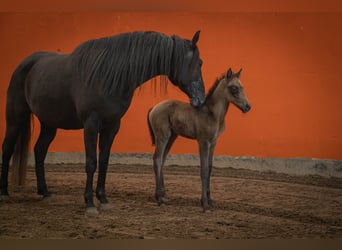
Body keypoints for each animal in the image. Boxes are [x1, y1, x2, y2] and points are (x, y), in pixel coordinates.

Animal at [0, 30, 206, 214]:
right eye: (200, 63)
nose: (201, 99)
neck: (110, 74)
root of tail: (26, 63)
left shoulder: (112, 126)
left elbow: (105, 160)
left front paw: (103, 199)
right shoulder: (91, 124)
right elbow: (91, 161)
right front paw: (90, 203)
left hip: (49, 123)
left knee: (39, 150)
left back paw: (45, 192)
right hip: (15, 118)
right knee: (8, 148)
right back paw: (4, 193)